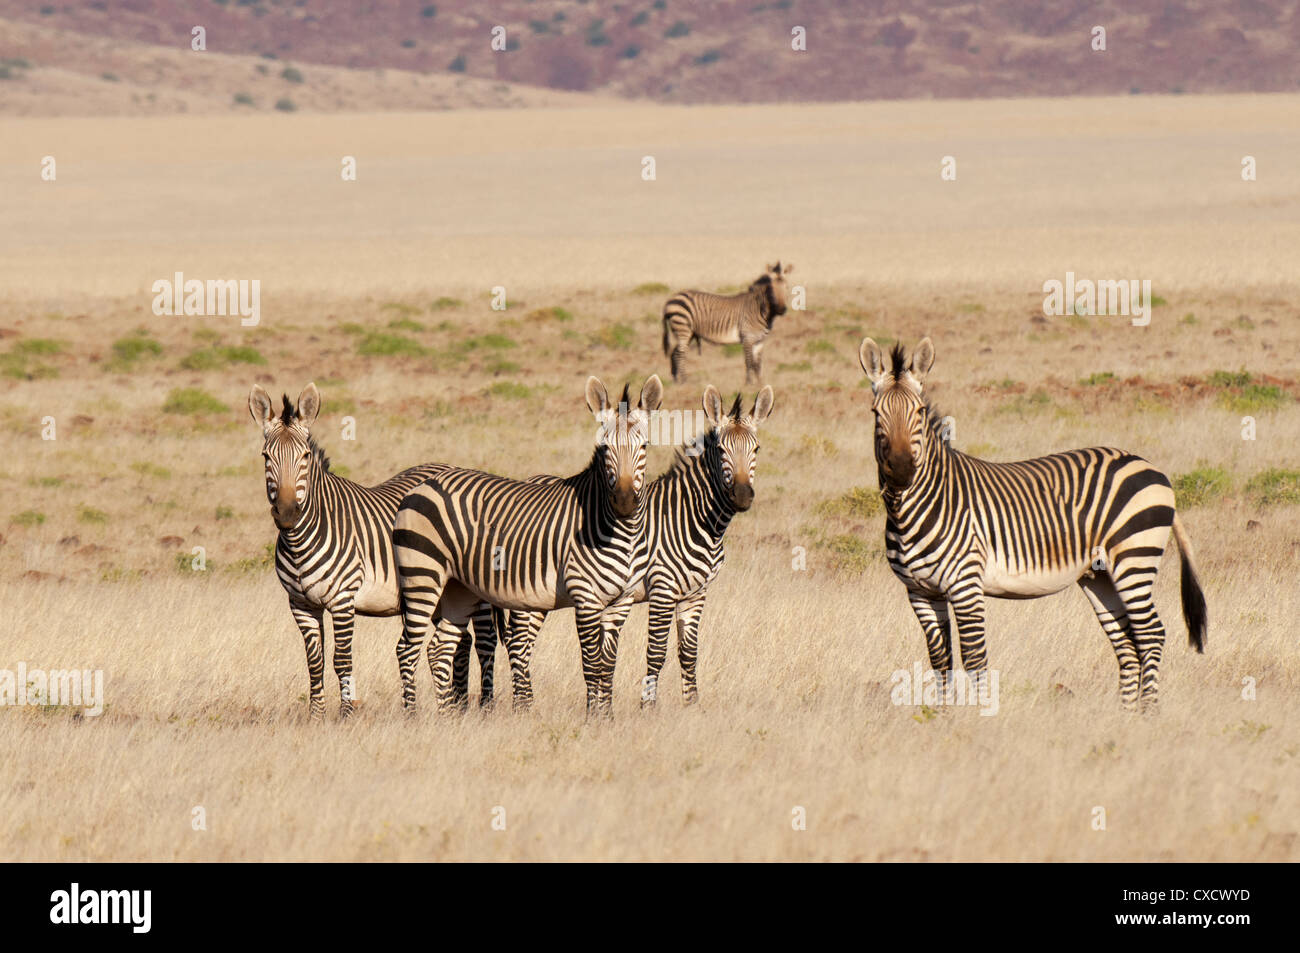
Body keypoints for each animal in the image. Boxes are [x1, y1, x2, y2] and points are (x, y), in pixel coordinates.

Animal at [248, 383, 497, 718]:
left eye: (305, 456)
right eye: (266, 456)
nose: (287, 513)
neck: (300, 540)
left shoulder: (343, 599)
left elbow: (342, 660)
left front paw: (345, 715)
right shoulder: (300, 604)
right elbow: (315, 662)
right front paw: (316, 716)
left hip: (473, 587)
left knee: (485, 640)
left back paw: (485, 706)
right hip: (437, 592)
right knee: (463, 641)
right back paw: (457, 706)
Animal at [392, 375, 663, 717]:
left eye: (645, 446)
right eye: (604, 449)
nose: (625, 503)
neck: (617, 530)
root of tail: (423, 485)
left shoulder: (621, 601)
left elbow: (608, 665)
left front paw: (608, 716)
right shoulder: (586, 596)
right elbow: (592, 664)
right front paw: (594, 718)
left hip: (457, 588)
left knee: (439, 648)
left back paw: (447, 717)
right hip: (422, 575)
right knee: (407, 648)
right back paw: (412, 715)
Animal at [496, 385, 775, 710]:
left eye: (756, 449)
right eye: (721, 451)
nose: (742, 496)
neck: (693, 520)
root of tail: (531, 479)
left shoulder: (696, 593)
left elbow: (688, 654)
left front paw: (692, 705)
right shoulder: (663, 589)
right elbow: (656, 652)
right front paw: (648, 707)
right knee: (518, 644)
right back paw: (522, 706)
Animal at [662, 262, 794, 385]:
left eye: (787, 287)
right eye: (771, 289)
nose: (781, 310)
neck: (759, 310)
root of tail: (671, 299)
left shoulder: (760, 340)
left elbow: (758, 364)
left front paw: (760, 384)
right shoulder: (747, 337)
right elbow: (749, 361)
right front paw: (748, 384)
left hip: (687, 333)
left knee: (674, 353)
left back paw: (676, 380)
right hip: (683, 329)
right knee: (680, 354)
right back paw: (684, 381)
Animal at [857, 338, 1206, 712]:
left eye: (920, 412)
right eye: (876, 413)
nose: (901, 470)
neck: (912, 511)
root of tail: (1149, 466)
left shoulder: (965, 585)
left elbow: (975, 658)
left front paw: (980, 716)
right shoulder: (920, 593)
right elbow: (941, 660)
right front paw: (941, 716)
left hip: (1134, 559)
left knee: (1150, 635)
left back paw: (1147, 714)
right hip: (1099, 576)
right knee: (1126, 643)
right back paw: (1124, 716)